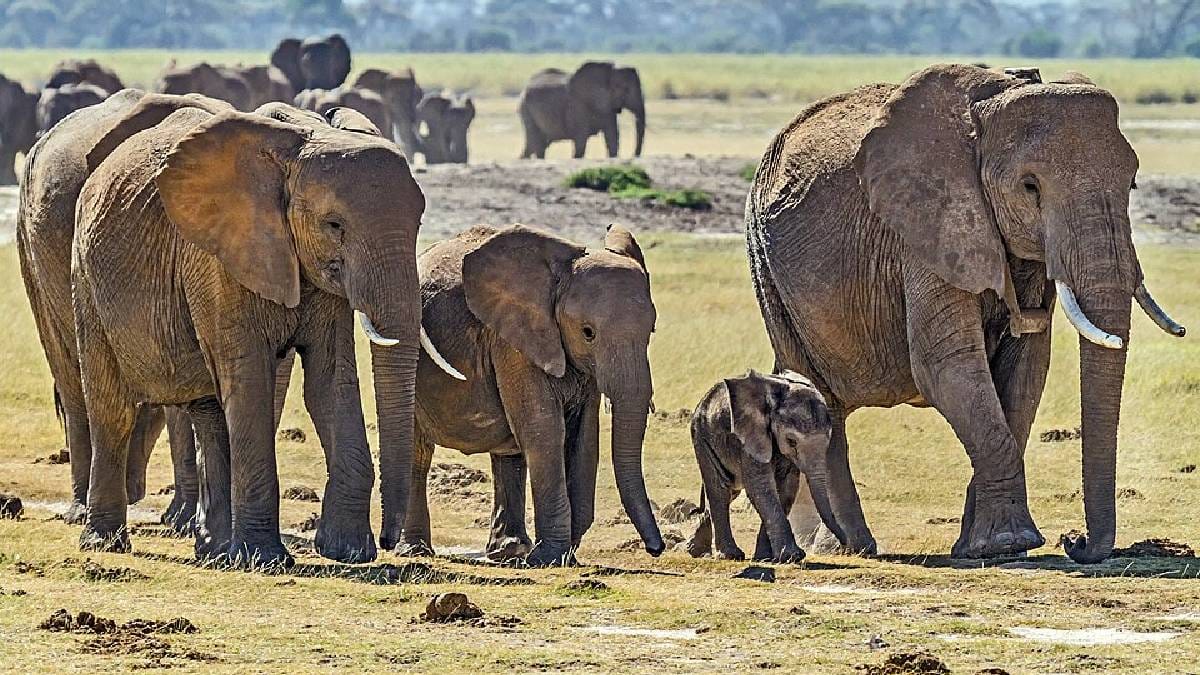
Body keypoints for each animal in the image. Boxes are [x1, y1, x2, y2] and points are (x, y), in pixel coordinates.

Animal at [69, 96, 459, 567]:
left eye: (419, 223)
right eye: (334, 225)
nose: (389, 541)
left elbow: (331, 382)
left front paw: (348, 551)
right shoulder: (219, 260)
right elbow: (250, 378)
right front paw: (265, 559)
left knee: (211, 411)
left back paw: (214, 551)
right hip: (85, 276)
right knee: (112, 406)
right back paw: (105, 542)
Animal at [405, 224, 664, 566]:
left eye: (652, 330)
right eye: (588, 332)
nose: (655, 549)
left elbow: (583, 437)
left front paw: (563, 555)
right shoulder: (513, 341)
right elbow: (543, 429)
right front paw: (549, 557)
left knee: (509, 451)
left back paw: (508, 552)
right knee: (418, 450)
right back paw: (415, 550)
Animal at [684, 370, 844, 563]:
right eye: (791, 441)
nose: (844, 543)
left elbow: (786, 488)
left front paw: (766, 558)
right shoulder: (749, 437)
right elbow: (761, 487)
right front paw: (793, 556)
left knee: (729, 492)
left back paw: (696, 551)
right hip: (702, 436)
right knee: (720, 490)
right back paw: (730, 555)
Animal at [745, 64, 1185, 563]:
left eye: (1132, 182)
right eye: (1030, 187)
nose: (1075, 541)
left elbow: (1025, 371)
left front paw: (983, 548)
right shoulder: (927, 225)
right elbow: (948, 367)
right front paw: (1010, 544)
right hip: (766, 266)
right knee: (820, 398)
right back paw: (855, 548)